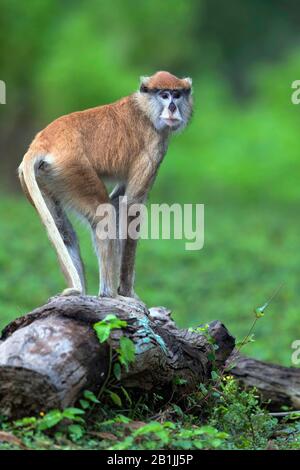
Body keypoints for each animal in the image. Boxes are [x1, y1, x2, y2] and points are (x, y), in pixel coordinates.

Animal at [18, 70, 192, 298]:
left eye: (177, 94)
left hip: (45, 178)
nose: (172, 107)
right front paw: (127, 291)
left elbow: (119, 199)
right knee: (104, 216)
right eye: (164, 95)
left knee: (64, 231)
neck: (144, 109)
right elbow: (131, 206)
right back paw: (109, 294)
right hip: (73, 167)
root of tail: (42, 143)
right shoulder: (154, 144)